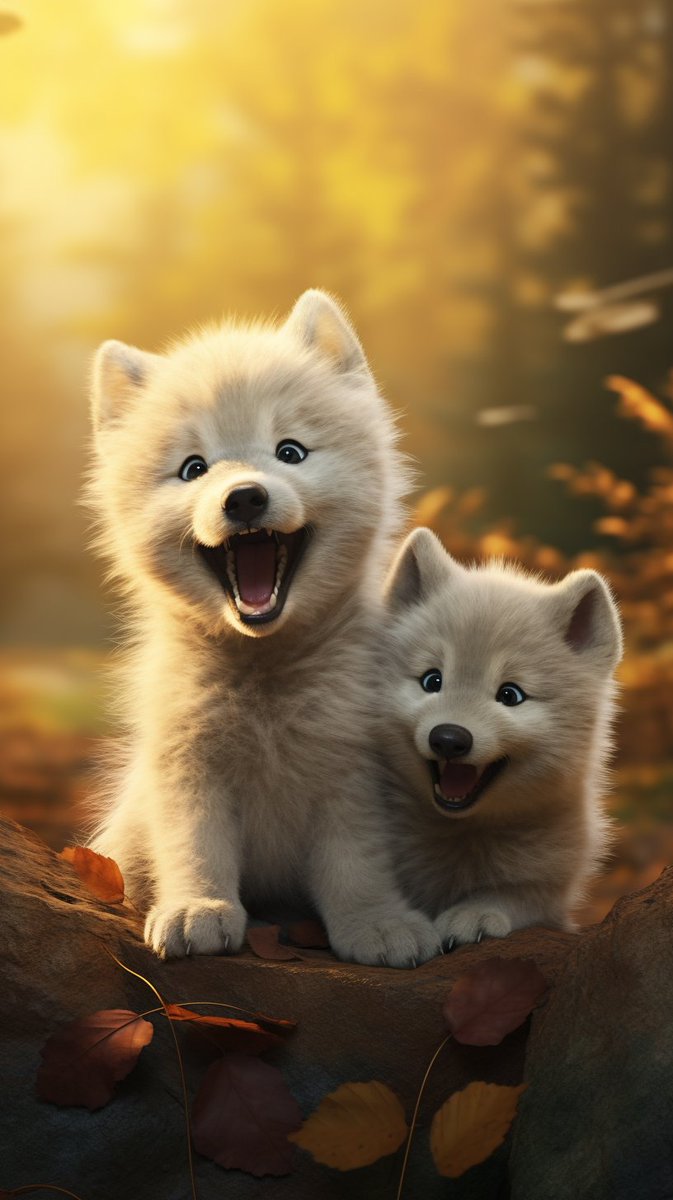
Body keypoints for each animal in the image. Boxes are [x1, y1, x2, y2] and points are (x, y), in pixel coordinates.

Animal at [86, 290, 440, 967]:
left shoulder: (354, 772)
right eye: (193, 468)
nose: (244, 497)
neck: (266, 673)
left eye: (291, 452)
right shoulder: (188, 764)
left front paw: (376, 924)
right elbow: (196, 846)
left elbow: (358, 864)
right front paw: (198, 909)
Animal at [379, 526, 623, 945]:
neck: (463, 831)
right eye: (432, 681)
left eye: (510, 695)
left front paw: (474, 913)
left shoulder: (550, 894)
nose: (449, 738)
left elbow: (514, 894)